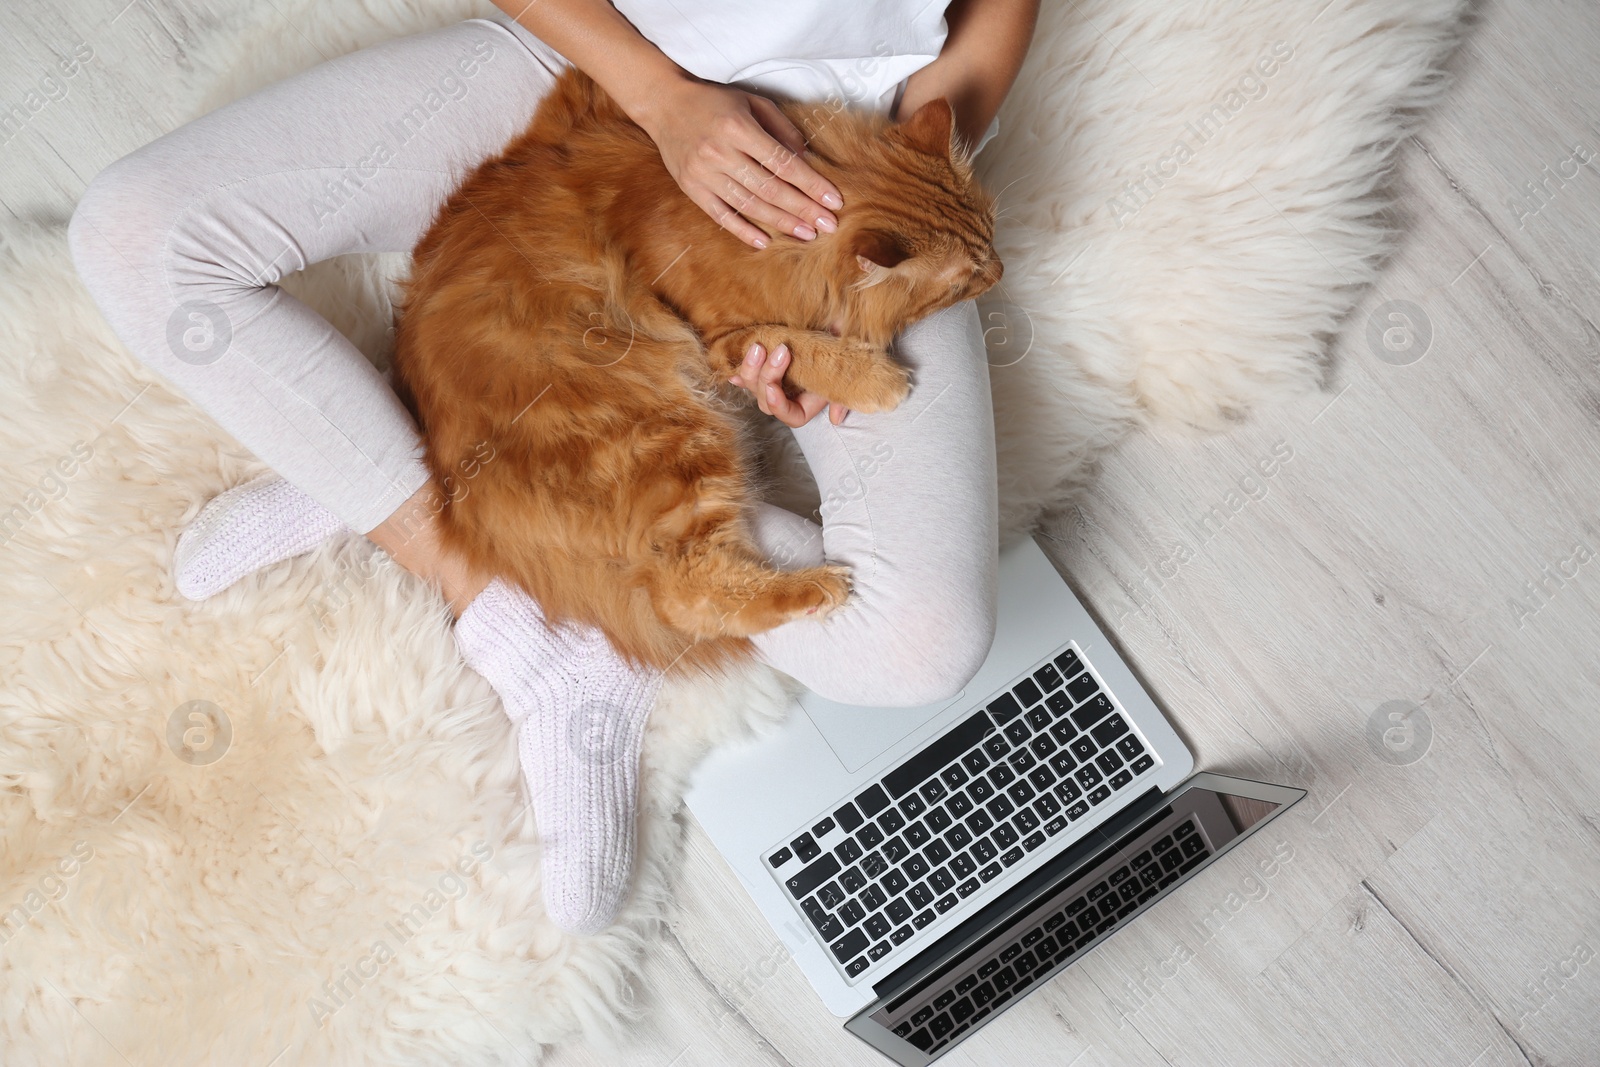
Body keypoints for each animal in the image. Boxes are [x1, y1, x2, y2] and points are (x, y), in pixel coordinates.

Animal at [396, 66, 998, 671]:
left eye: (991, 232)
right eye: (964, 281)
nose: (997, 272)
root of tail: (462, 502)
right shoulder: (721, 341)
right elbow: (795, 342)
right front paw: (877, 378)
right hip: (672, 434)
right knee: (685, 593)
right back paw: (816, 586)